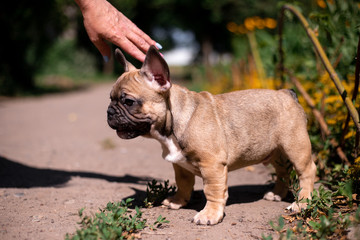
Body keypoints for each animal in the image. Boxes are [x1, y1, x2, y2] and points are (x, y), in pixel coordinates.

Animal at [107, 46, 316, 226]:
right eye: (110, 98)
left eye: (128, 101)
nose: (109, 112)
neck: (174, 121)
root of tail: (287, 93)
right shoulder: (180, 166)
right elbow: (183, 184)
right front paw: (178, 201)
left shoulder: (212, 165)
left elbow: (213, 191)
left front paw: (210, 215)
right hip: (275, 152)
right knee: (282, 172)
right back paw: (277, 194)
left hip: (295, 147)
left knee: (306, 171)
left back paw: (301, 203)